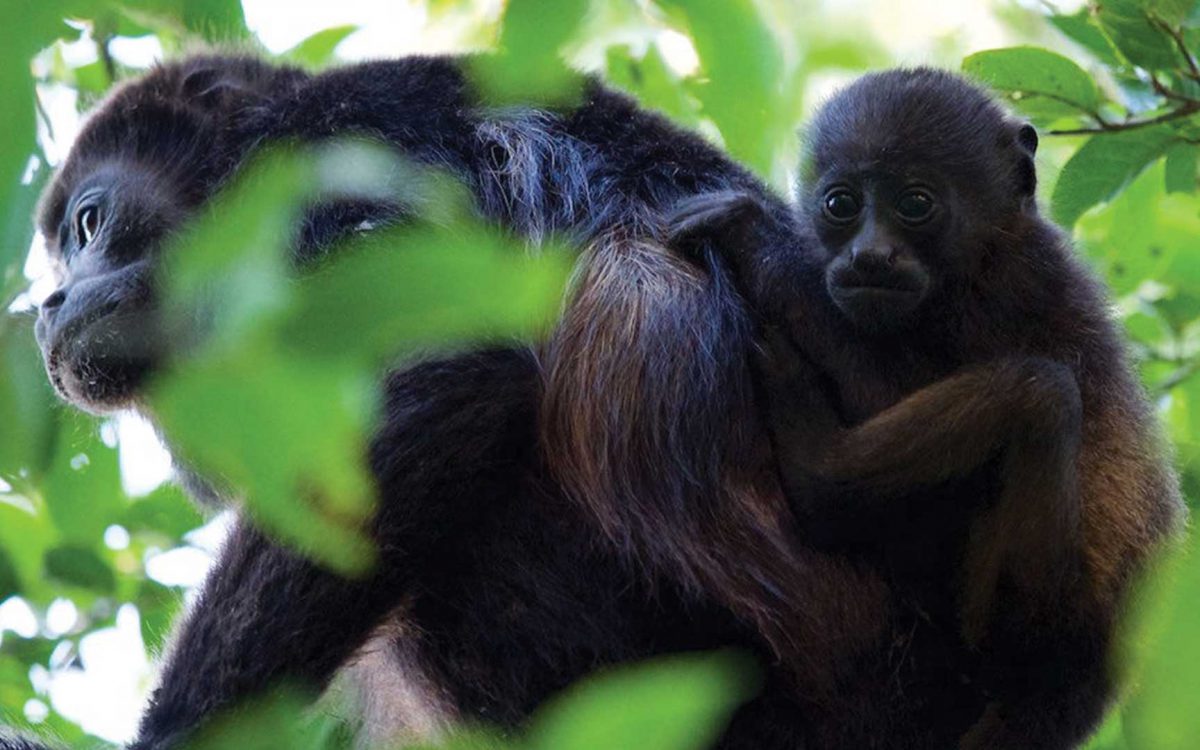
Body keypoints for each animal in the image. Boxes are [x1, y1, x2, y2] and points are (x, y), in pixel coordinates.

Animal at [672, 67, 1185, 744]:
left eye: (915, 204)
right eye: (840, 204)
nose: (870, 256)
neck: (983, 254)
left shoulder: (1005, 287)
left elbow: (883, 393)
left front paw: (753, 236)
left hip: (1023, 620)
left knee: (1041, 394)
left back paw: (821, 471)